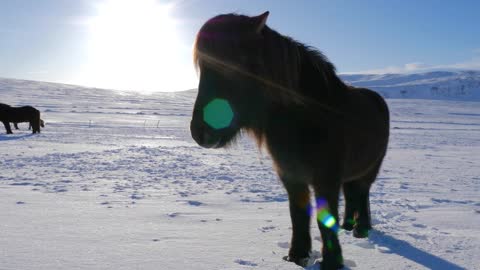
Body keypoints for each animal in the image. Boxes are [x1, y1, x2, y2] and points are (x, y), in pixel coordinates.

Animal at [189, 12, 388, 268]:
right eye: (202, 67)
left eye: (237, 62)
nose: (201, 132)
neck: (303, 118)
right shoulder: (291, 175)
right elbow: (298, 215)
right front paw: (297, 255)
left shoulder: (326, 179)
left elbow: (325, 220)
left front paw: (331, 261)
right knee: (352, 193)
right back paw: (348, 225)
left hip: (369, 170)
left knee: (362, 194)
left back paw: (361, 229)